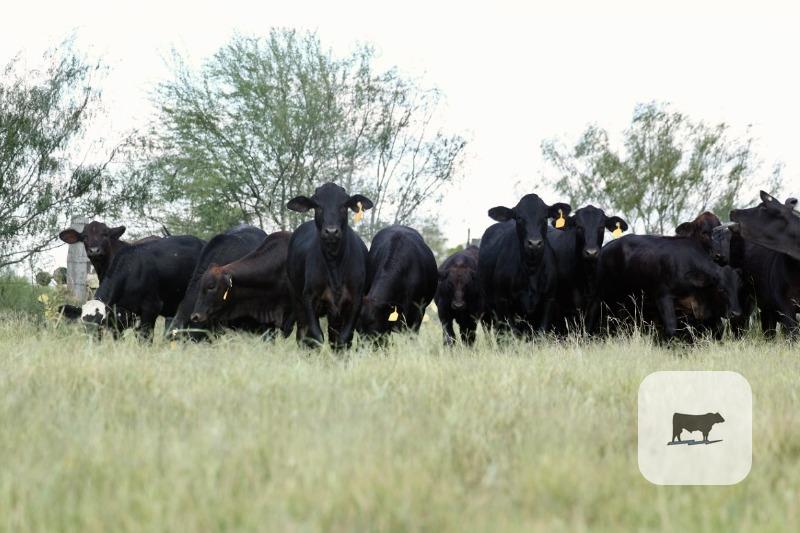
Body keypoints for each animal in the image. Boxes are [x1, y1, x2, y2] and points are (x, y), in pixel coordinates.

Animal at [285, 182, 373, 349]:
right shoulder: (308, 299)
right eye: (317, 206)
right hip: (297, 300)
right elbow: (316, 337)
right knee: (302, 335)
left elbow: (343, 339)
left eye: (344, 205)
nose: (331, 232)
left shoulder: (355, 302)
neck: (334, 266)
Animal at [478, 193, 571, 336]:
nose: (534, 243)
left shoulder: (548, 300)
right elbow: (513, 333)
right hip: (486, 309)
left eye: (545, 217)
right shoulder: (502, 301)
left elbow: (541, 332)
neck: (531, 270)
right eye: (519, 217)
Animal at [589, 234, 743, 341]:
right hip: (600, 295)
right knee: (591, 314)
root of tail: (605, 248)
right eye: (721, 289)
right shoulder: (663, 297)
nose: (736, 313)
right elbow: (671, 327)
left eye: (738, 288)